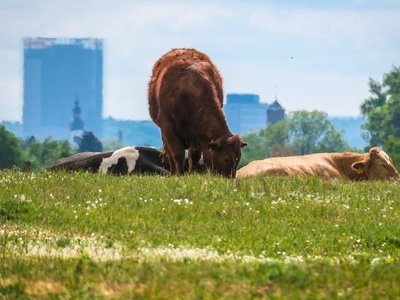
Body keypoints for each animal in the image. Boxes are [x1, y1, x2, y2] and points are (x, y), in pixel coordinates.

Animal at [148, 48, 245, 177]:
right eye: (226, 159)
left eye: (238, 159)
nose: (230, 178)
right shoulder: (168, 126)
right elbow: (177, 153)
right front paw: (180, 175)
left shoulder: (197, 135)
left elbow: (194, 156)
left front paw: (192, 174)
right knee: (170, 154)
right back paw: (173, 173)